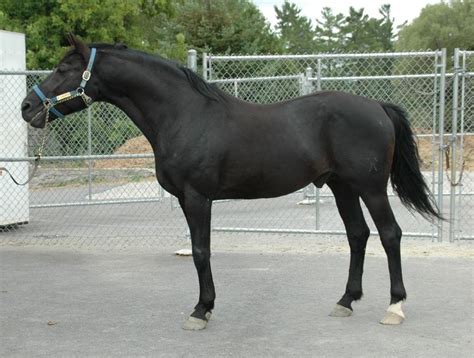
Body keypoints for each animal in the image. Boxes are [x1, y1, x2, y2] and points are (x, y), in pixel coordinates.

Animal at [20, 35, 438, 330]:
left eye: (64, 69)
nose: (27, 107)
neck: (184, 114)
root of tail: (376, 106)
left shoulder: (197, 197)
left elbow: (201, 252)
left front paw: (201, 310)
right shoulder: (189, 199)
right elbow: (198, 250)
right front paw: (204, 307)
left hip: (370, 188)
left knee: (390, 235)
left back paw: (395, 307)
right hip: (342, 187)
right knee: (358, 235)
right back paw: (345, 301)